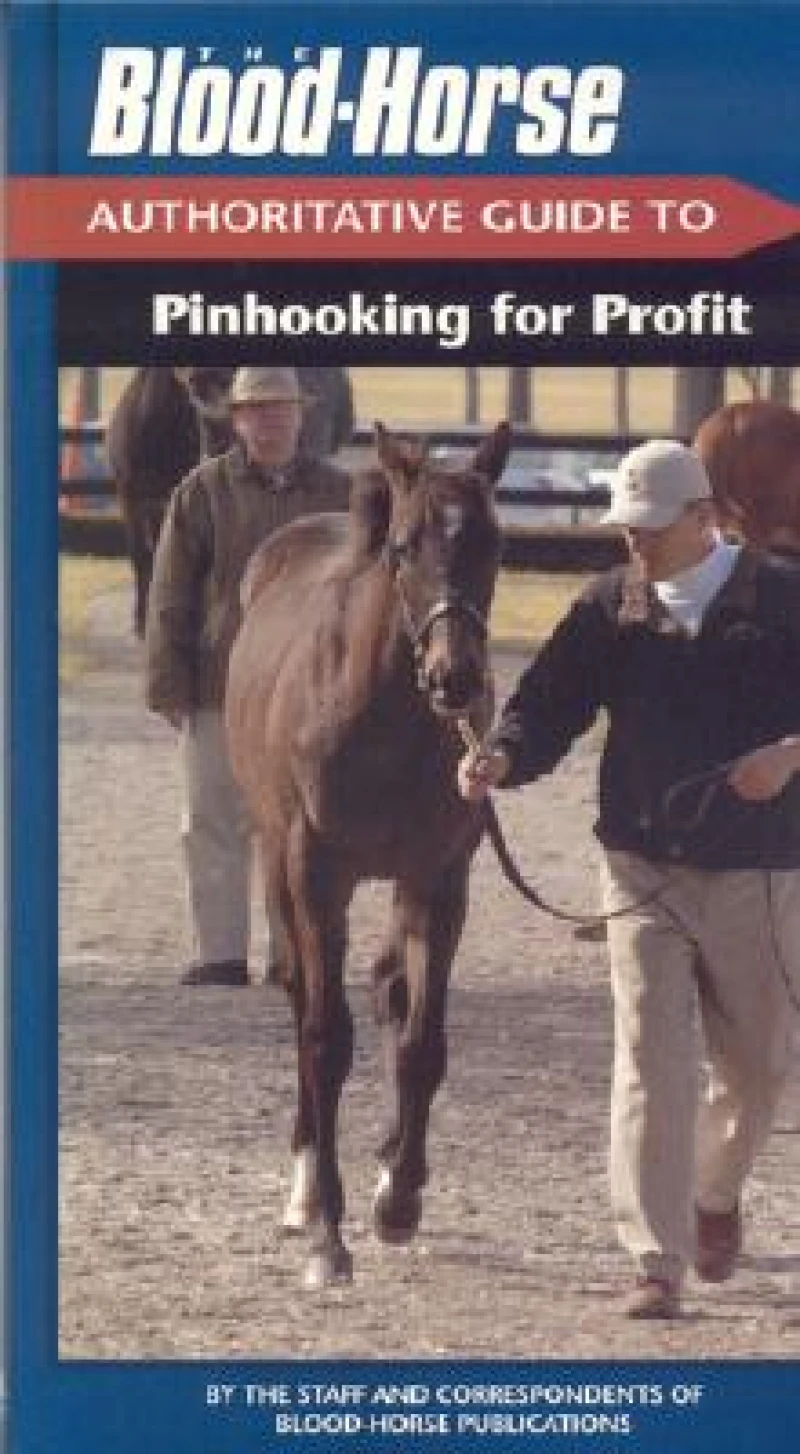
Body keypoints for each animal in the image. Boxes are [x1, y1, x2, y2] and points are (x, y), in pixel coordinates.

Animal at [225, 422, 511, 1288]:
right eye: (405, 546)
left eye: (493, 542)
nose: (455, 678)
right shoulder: (317, 876)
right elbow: (326, 1038)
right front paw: (328, 1232)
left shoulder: (438, 880)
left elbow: (420, 1044)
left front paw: (399, 1201)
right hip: (279, 865)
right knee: (301, 1001)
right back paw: (301, 1192)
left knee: (389, 993)